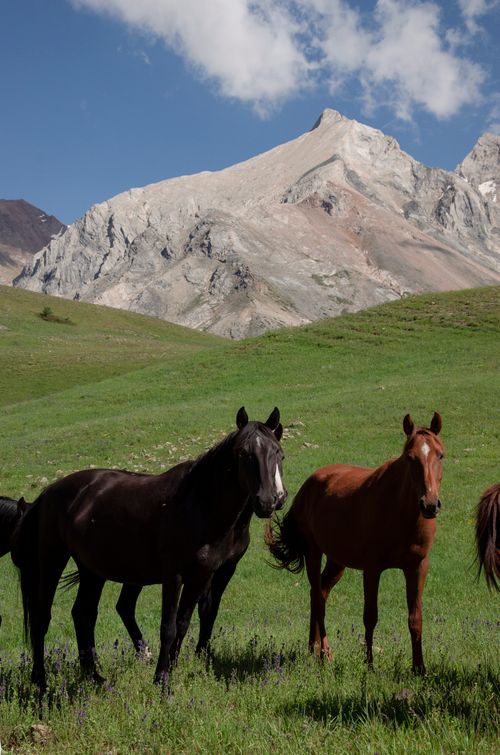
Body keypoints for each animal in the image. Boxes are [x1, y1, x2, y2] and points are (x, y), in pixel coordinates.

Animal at [12, 406, 287, 690]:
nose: (269, 501)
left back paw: (95, 677)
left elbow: (184, 622)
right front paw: (161, 679)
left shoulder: (202, 575)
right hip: (52, 561)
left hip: (92, 570)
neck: (199, 505)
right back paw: (41, 682)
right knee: (42, 618)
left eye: (278, 452)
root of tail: (49, 493)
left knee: (82, 615)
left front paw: (175, 667)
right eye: (243, 453)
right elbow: (168, 627)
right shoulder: (174, 576)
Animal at [267, 413, 443, 674]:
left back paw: (313, 649)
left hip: (337, 561)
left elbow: (415, 618)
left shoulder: (418, 567)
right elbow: (370, 616)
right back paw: (325, 653)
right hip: (313, 552)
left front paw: (419, 668)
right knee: (317, 597)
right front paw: (369, 665)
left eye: (440, 455)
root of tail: (310, 484)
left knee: (320, 593)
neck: (400, 511)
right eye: (410, 457)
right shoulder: (372, 569)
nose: (430, 504)